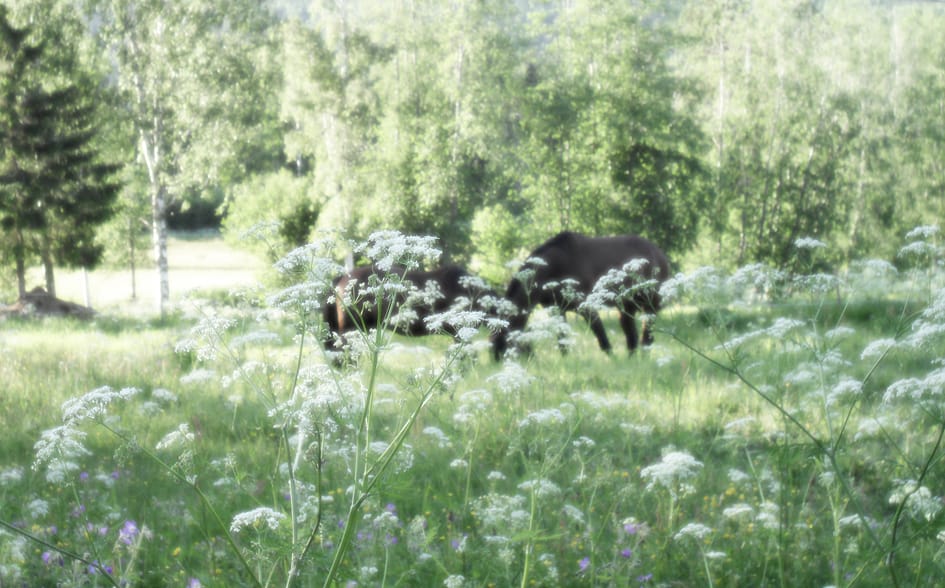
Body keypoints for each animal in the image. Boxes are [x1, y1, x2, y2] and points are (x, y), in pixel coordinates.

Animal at [490, 230, 668, 358]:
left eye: (505, 342)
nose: (496, 361)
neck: (555, 267)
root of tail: (660, 253)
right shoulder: (557, 310)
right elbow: (563, 340)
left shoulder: (587, 308)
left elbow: (602, 337)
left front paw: (613, 360)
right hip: (627, 308)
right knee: (631, 336)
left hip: (650, 307)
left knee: (647, 336)